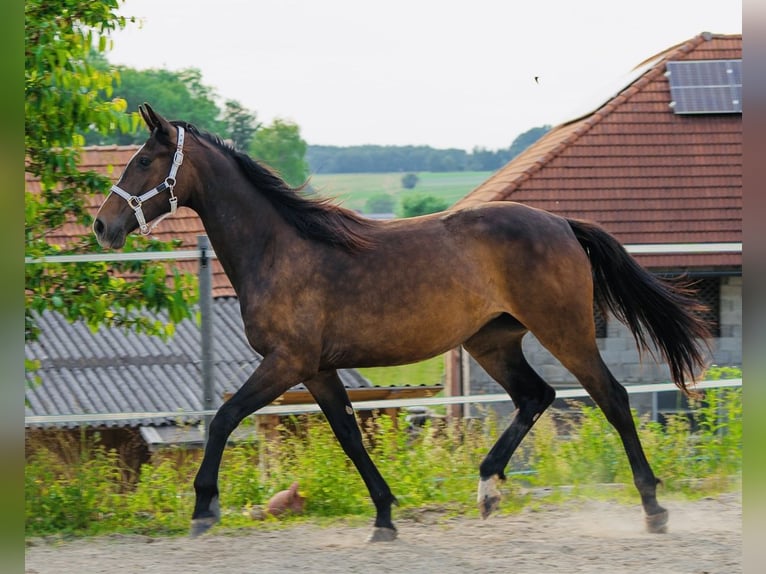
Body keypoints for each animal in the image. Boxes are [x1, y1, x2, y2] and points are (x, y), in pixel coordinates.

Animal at [93, 104, 712, 544]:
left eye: (143, 161)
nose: (103, 226)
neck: (278, 249)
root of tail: (561, 223)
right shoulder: (316, 369)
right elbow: (348, 435)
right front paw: (385, 516)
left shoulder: (286, 362)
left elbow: (223, 419)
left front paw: (204, 508)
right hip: (493, 341)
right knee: (535, 397)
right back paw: (487, 490)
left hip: (565, 331)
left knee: (611, 398)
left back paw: (653, 508)